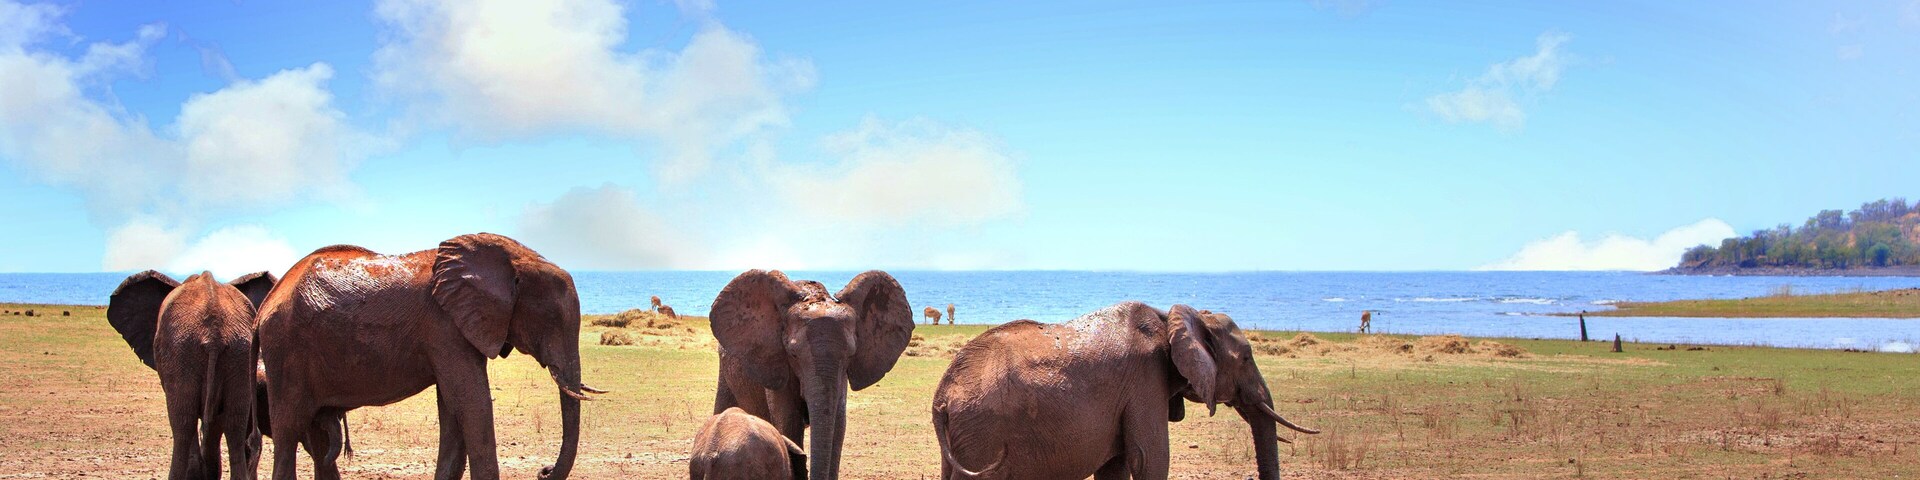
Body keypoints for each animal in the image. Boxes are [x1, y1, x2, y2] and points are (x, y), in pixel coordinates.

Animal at [257, 233, 605, 480]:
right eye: (552, 320)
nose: (543, 471)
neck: (512, 258)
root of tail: (267, 303)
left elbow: (452, 407)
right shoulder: (445, 327)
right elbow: (471, 402)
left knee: (316, 441)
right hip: (285, 352)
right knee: (288, 433)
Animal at [931, 302, 1318, 480]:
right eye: (1247, 357)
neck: (1172, 318)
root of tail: (941, 396)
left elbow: (1113, 466)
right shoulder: (1145, 381)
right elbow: (1149, 458)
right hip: (983, 433)